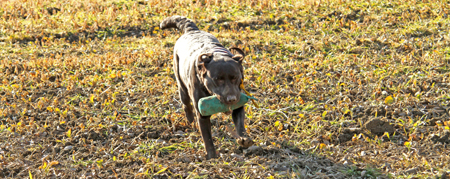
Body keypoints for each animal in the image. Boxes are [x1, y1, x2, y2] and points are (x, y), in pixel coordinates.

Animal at [161, 15, 253, 158]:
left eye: (235, 77)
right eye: (217, 79)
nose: (231, 99)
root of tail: (191, 30)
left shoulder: (238, 102)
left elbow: (240, 124)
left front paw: (244, 139)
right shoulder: (202, 114)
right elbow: (207, 137)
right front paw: (212, 156)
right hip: (182, 85)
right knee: (186, 104)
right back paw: (190, 122)